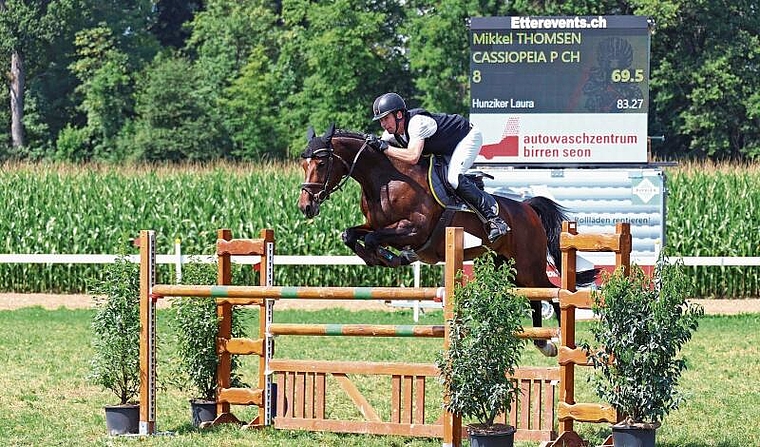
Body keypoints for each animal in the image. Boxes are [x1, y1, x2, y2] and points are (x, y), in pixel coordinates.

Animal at [298, 124, 600, 356]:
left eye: (321, 163)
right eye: (303, 164)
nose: (305, 206)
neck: (384, 179)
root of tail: (527, 208)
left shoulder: (414, 229)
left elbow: (374, 238)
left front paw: (391, 257)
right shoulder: (375, 224)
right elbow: (350, 234)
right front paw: (379, 258)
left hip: (528, 264)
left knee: (551, 293)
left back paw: (556, 341)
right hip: (508, 265)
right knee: (535, 297)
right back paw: (541, 341)